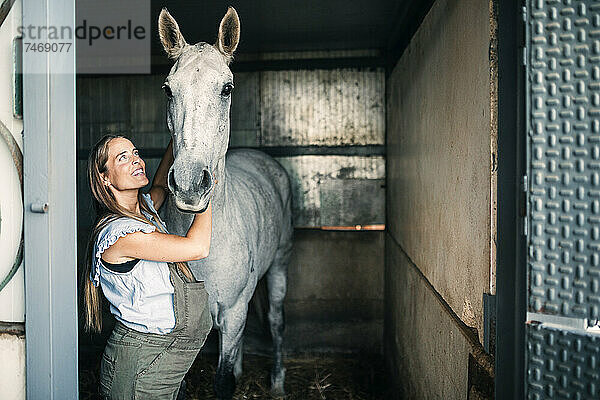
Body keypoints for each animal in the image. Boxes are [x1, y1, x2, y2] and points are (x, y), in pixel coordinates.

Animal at [158, 7, 292, 400]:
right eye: (168, 89)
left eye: (227, 88)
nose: (189, 184)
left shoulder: (233, 311)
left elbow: (223, 381)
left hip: (280, 265)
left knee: (276, 321)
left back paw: (277, 382)